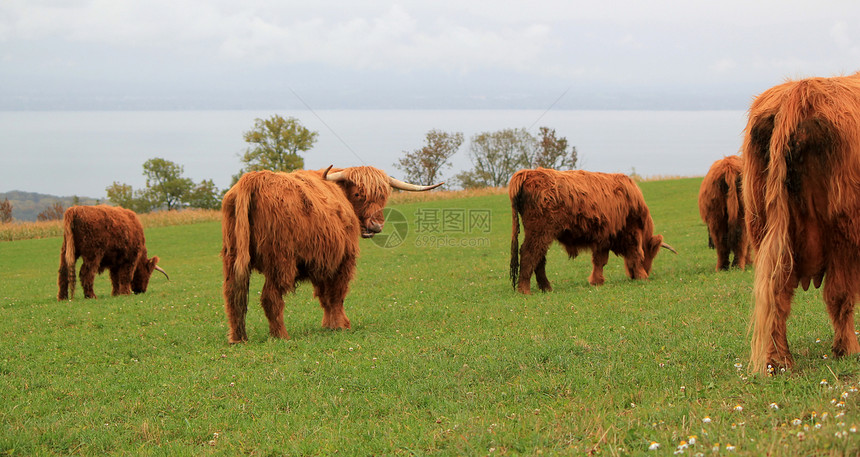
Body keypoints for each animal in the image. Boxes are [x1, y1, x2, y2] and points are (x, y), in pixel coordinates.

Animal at [222, 165, 440, 342]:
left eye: (383, 196)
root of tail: (254, 178)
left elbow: (325, 296)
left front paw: (329, 325)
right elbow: (337, 294)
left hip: (232, 256)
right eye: (359, 194)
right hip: (281, 261)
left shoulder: (323, 261)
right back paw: (281, 336)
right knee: (270, 297)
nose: (376, 226)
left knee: (233, 295)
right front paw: (341, 325)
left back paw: (237, 338)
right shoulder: (343, 260)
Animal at [508, 167, 676, 292]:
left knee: (538, 258)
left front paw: (596, 281)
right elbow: (633, 255)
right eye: (651, 255)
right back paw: (525, 290)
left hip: (541, 235)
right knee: (529, 254)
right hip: (540, 232)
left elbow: (600, 261)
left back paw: (546, 288)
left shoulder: (603, 238)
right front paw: (642, 276)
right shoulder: (630, 233)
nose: (647, 271)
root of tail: (528, 173)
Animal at [744, 70, 860, 370]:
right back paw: (847, 349)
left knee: (777, 294)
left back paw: (779, 360)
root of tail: (798, 92)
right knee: (839, 294)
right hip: (843, 229)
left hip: (763, 227)